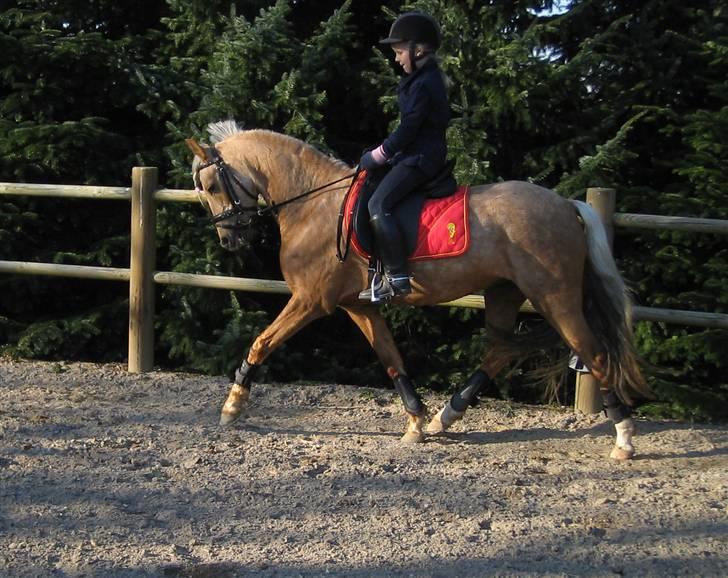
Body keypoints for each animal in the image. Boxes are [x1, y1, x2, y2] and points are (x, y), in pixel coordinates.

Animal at [186, 120, 648, 460]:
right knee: (500, 350)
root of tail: (567, 205)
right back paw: (447, 415)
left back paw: (624, 439)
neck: (313, 204)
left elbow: (261, 342)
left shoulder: (310, 301)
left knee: (594, 353)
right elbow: (391, 358)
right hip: (504, 292)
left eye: (211, 187)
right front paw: (417, 422)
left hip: (555, 297)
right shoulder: (359, 306)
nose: (229, 239)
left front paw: (231, 406)